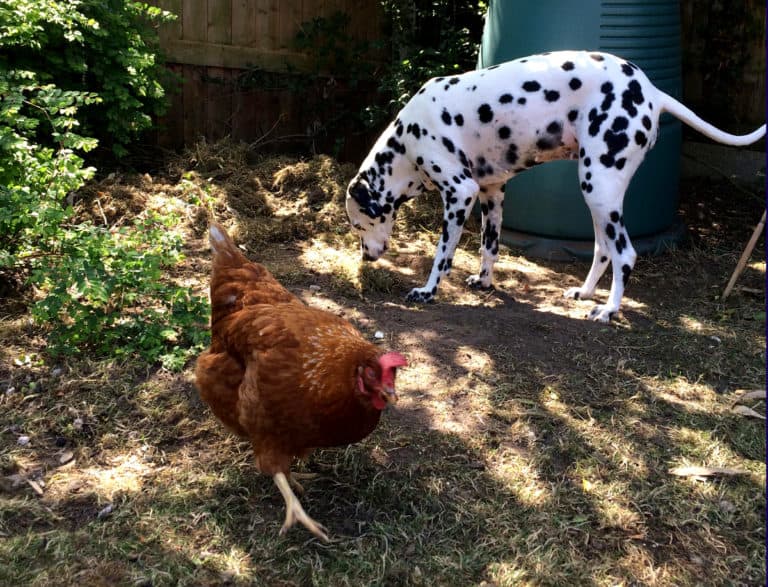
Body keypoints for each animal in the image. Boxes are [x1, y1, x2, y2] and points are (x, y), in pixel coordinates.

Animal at [344, 51, 764, 322]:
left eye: (358, 224)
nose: (366, 258)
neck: (406, 141)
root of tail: (653, 92)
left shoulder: (460, 195)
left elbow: (442, 255)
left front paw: (427, 291)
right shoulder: (491, 193)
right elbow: (489, 247)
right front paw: (484, 282)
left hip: (599, 188)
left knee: (625, 254)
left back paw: (608, 310)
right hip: (598, 196)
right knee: (603, 250)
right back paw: (586, 293)